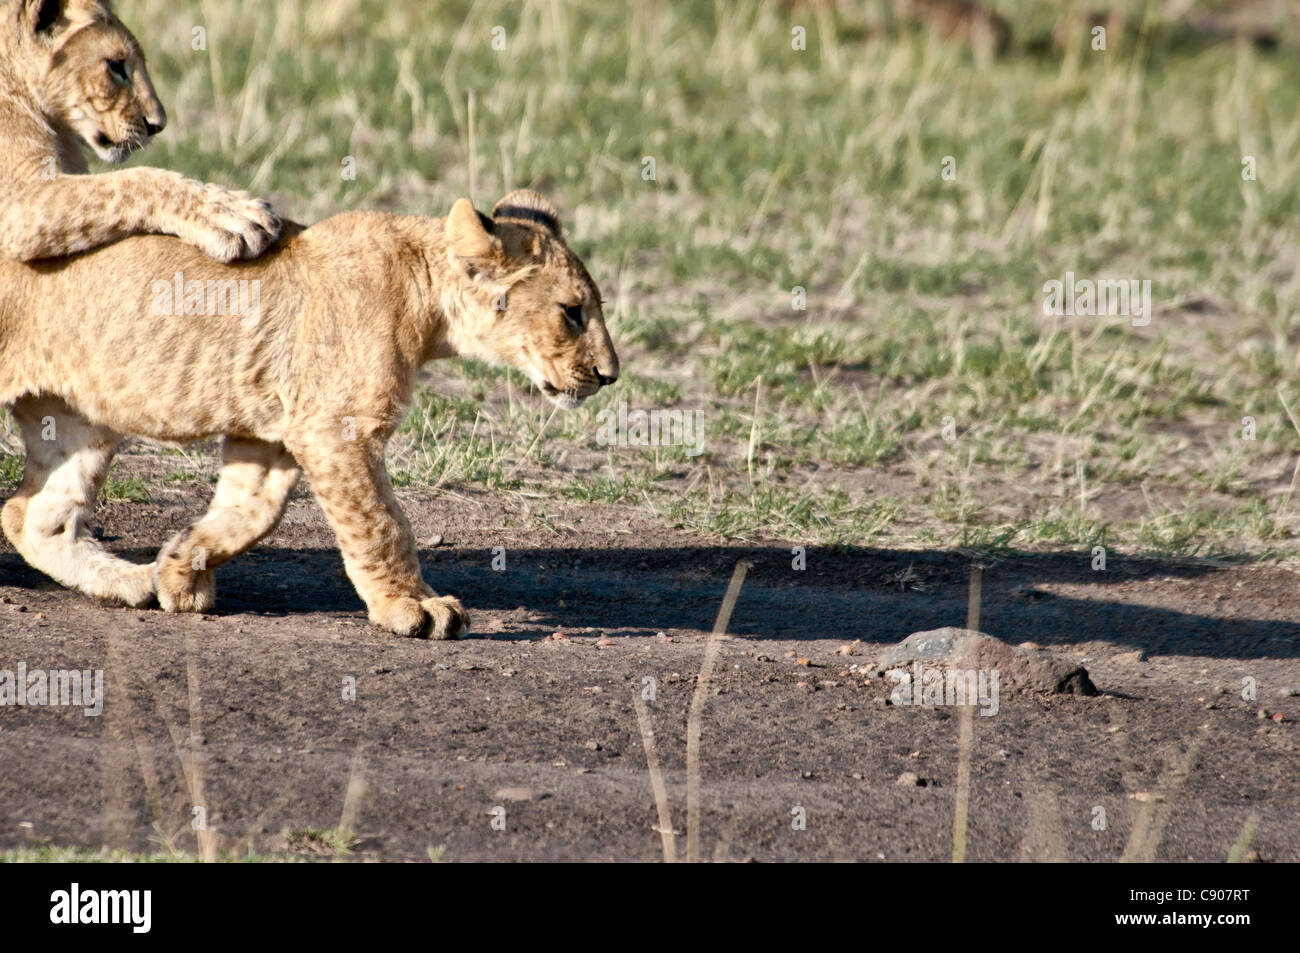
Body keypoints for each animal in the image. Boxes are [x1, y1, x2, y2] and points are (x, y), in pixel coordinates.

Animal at [0, 189, 619, 639]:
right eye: (572, 311)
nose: (610, 374)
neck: (426, 296)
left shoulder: (273, 432)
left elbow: (252, 514)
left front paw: (180, 571)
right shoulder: (336, 429)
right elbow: (382, 523)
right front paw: (412, 607)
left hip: (78, 419)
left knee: (30, 514)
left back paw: (130, 582)